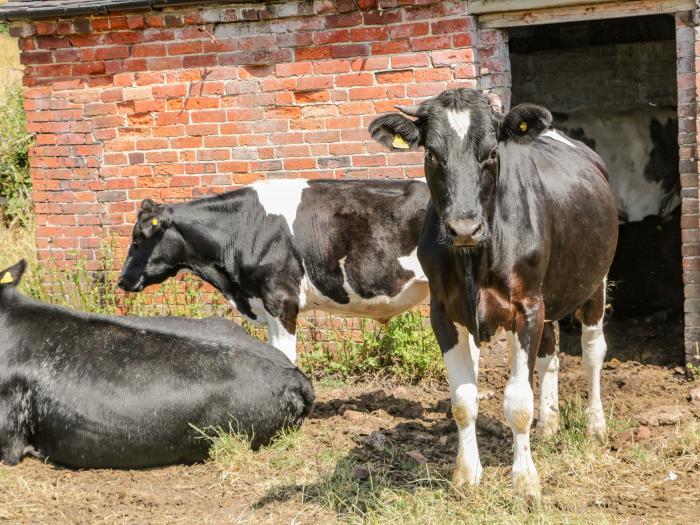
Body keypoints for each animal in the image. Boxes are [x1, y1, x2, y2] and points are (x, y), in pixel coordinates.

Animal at [370, 88, 616, 502]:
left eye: (490, 152)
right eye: (431, 154)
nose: (463, 227)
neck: (476, 255)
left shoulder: (526, 306)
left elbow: (518, 401)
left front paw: (525, 482)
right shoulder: (444, 311)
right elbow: (463, 400)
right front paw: (466, 475)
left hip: (595, 281)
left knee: (592, 351)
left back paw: (595, 426)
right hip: (548, 296)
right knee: (550, 354)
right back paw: (549, 425)